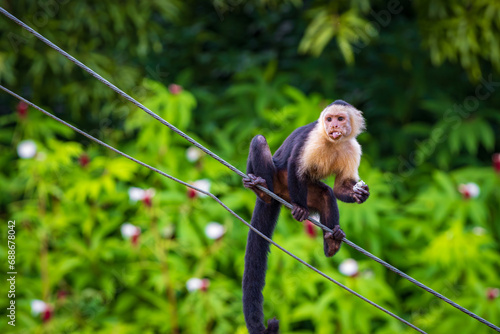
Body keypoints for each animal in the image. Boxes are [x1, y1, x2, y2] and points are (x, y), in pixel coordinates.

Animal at [244, 100, 370, 334]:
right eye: (329, 119)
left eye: (340, 119)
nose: (333, 126)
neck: (332, 142)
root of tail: (280, 193)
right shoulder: (314, 138)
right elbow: (296, 166)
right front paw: (301, 209)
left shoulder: (353, 147)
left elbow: (339, 188)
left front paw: (361, 194)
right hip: (279, 178)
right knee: (260, 142)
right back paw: (262, 192)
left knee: (326, 194)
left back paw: (332, 241)